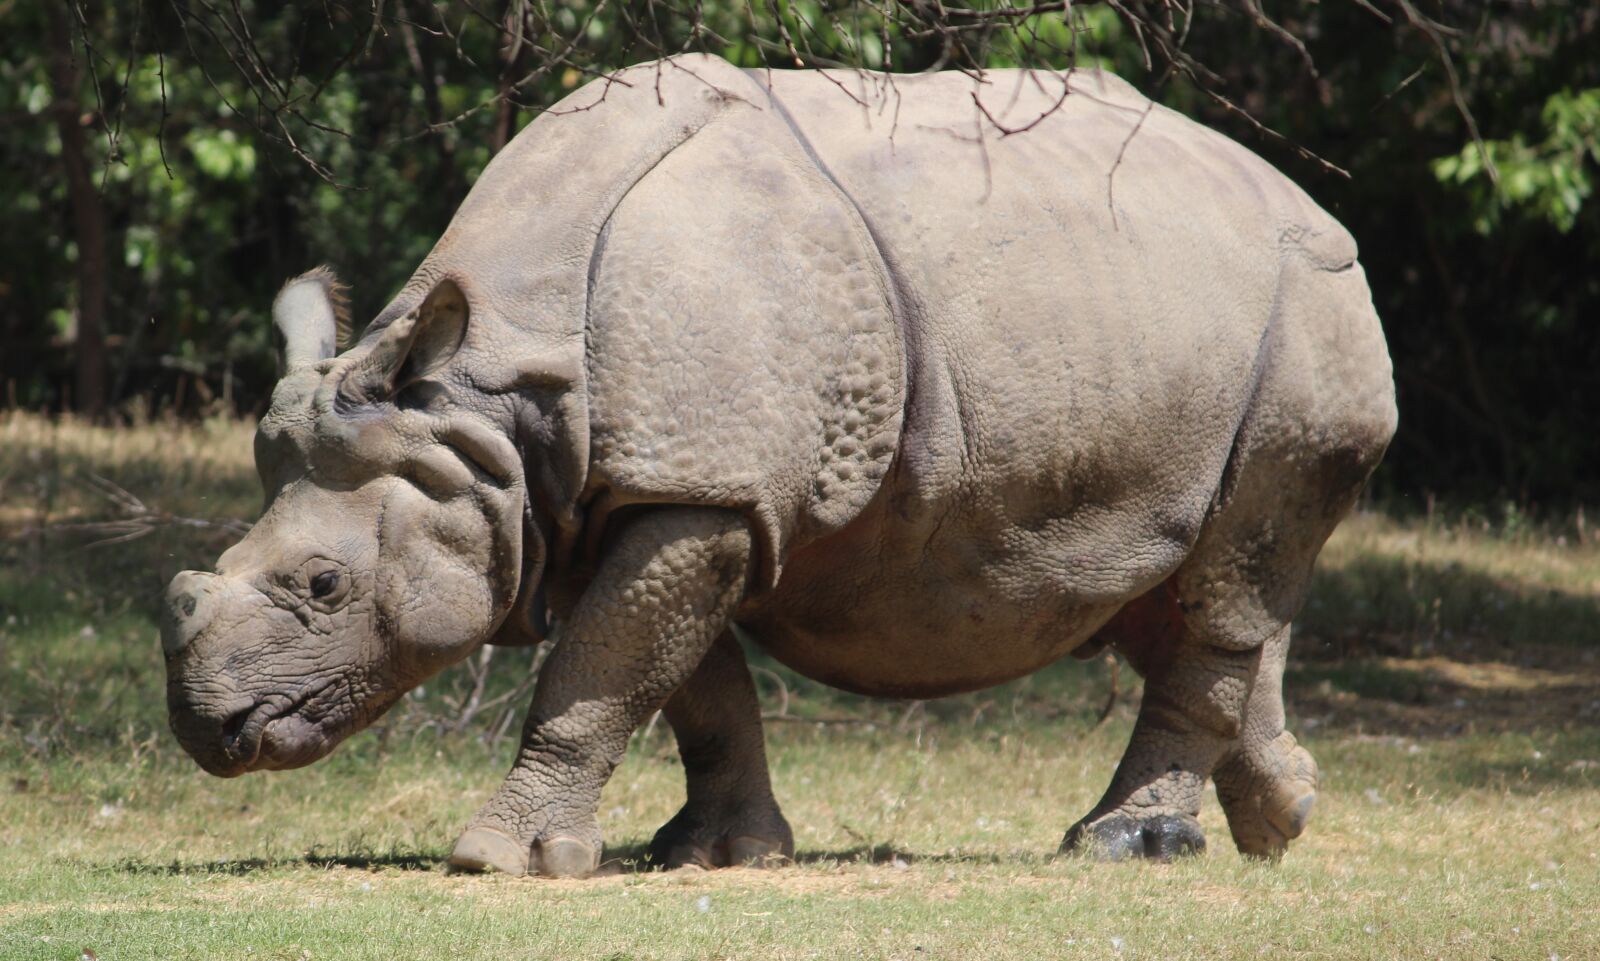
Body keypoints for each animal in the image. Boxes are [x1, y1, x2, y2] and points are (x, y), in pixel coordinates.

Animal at [162, 55, 1396, 876]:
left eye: (322, 585)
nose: (207, 732)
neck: (487, 406)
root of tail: (1303, 196)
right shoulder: (635, 492)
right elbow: (689, 686)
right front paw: (714, 854)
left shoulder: (695, 488)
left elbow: (599, 671)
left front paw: (497, 862)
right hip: (1146, 319)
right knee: (1181, 576)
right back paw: (1281, 817)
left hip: (1306, 313)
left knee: (1230, 573)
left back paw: (1125, 845)